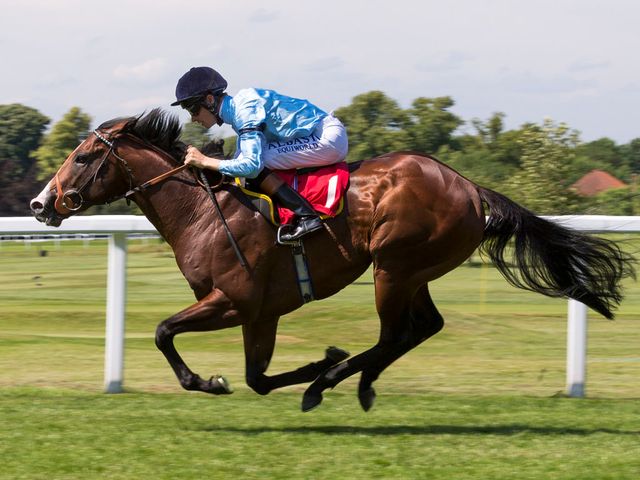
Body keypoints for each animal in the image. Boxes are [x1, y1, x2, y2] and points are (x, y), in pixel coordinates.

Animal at [30, 109, 636, 412]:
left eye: (84, 156)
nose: (41, 204)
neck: (203, 208)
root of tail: (470, 187)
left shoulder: (235, 300)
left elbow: (162, 332)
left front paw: (217, 380)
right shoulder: (261, 312)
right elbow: (255, 378)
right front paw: (304, 366)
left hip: (394, 266)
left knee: (396, 334)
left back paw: (334, 381)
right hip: (414, 270)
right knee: (424, 327)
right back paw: (354, 381)